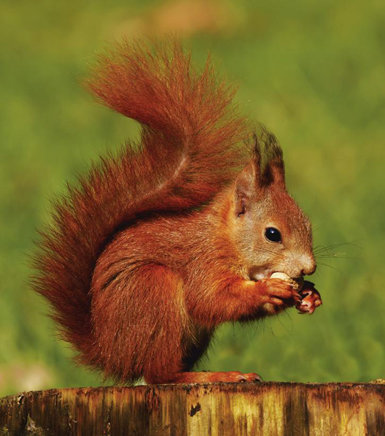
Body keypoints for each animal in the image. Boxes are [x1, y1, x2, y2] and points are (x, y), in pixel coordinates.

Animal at [33, 40, 320, 382]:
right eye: (272, 234)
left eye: (308, 225)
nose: (309, 268)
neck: (225, 240)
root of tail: (111, 354)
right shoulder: (202, 263)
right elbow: (210, 301)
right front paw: (268, 289)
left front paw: (310, 296)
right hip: (152, 290)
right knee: (160, 375)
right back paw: (211, 376)